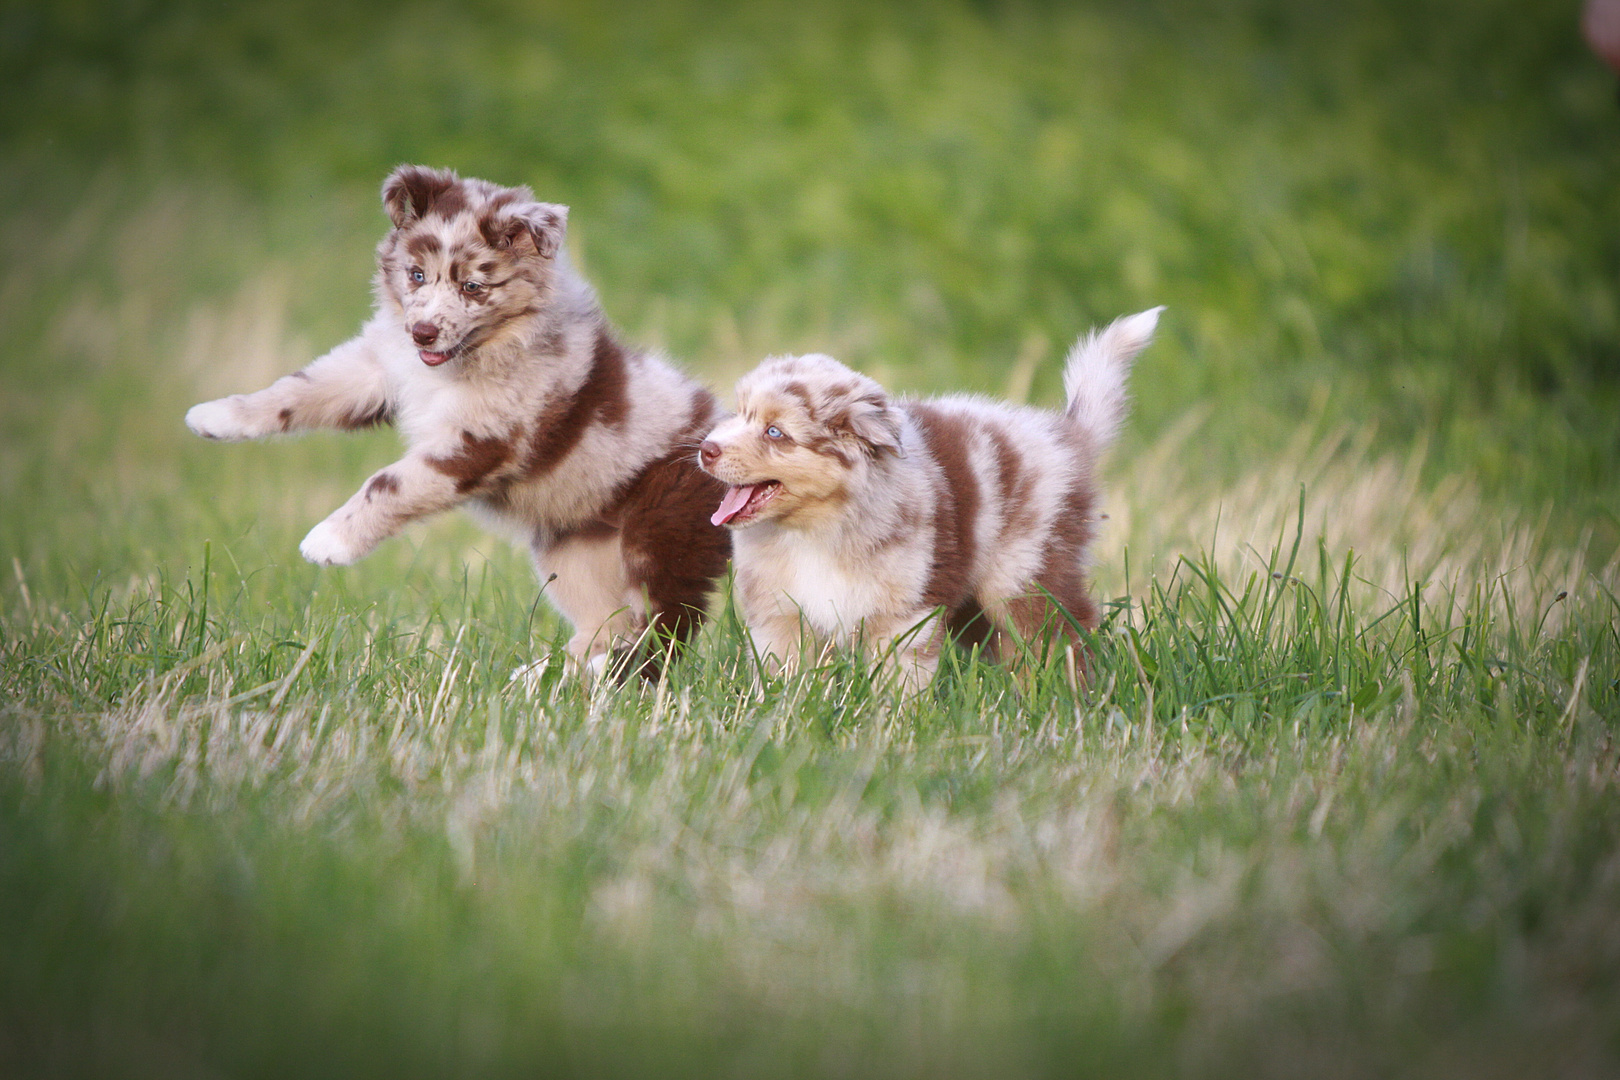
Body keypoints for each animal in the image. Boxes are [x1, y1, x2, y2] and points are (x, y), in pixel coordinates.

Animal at [182, 165, 729, 680]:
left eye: (473, 287)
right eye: (416, 275)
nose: (422, 333)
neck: (476, 354)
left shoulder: (479, 440)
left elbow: (388, 482)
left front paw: (328, 542)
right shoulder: (380, 371)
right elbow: (301, 387)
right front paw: (217, 415)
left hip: (661, 534)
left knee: (660, 629)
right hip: (578, 553)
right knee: (607, 624)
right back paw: (543, 678)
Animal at [696, 304, 1166, 693]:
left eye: (775, 432)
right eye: (739, 413)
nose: (705, 448)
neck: (816, 529)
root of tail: (1066, 433)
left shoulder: (905, 614)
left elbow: (899, 679)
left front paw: (893, 722)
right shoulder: (780, 614)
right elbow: (784, 673)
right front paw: (781, 711)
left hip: (1026, 574)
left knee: (1061, 635)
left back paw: (1062, 697)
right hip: (974, 603)